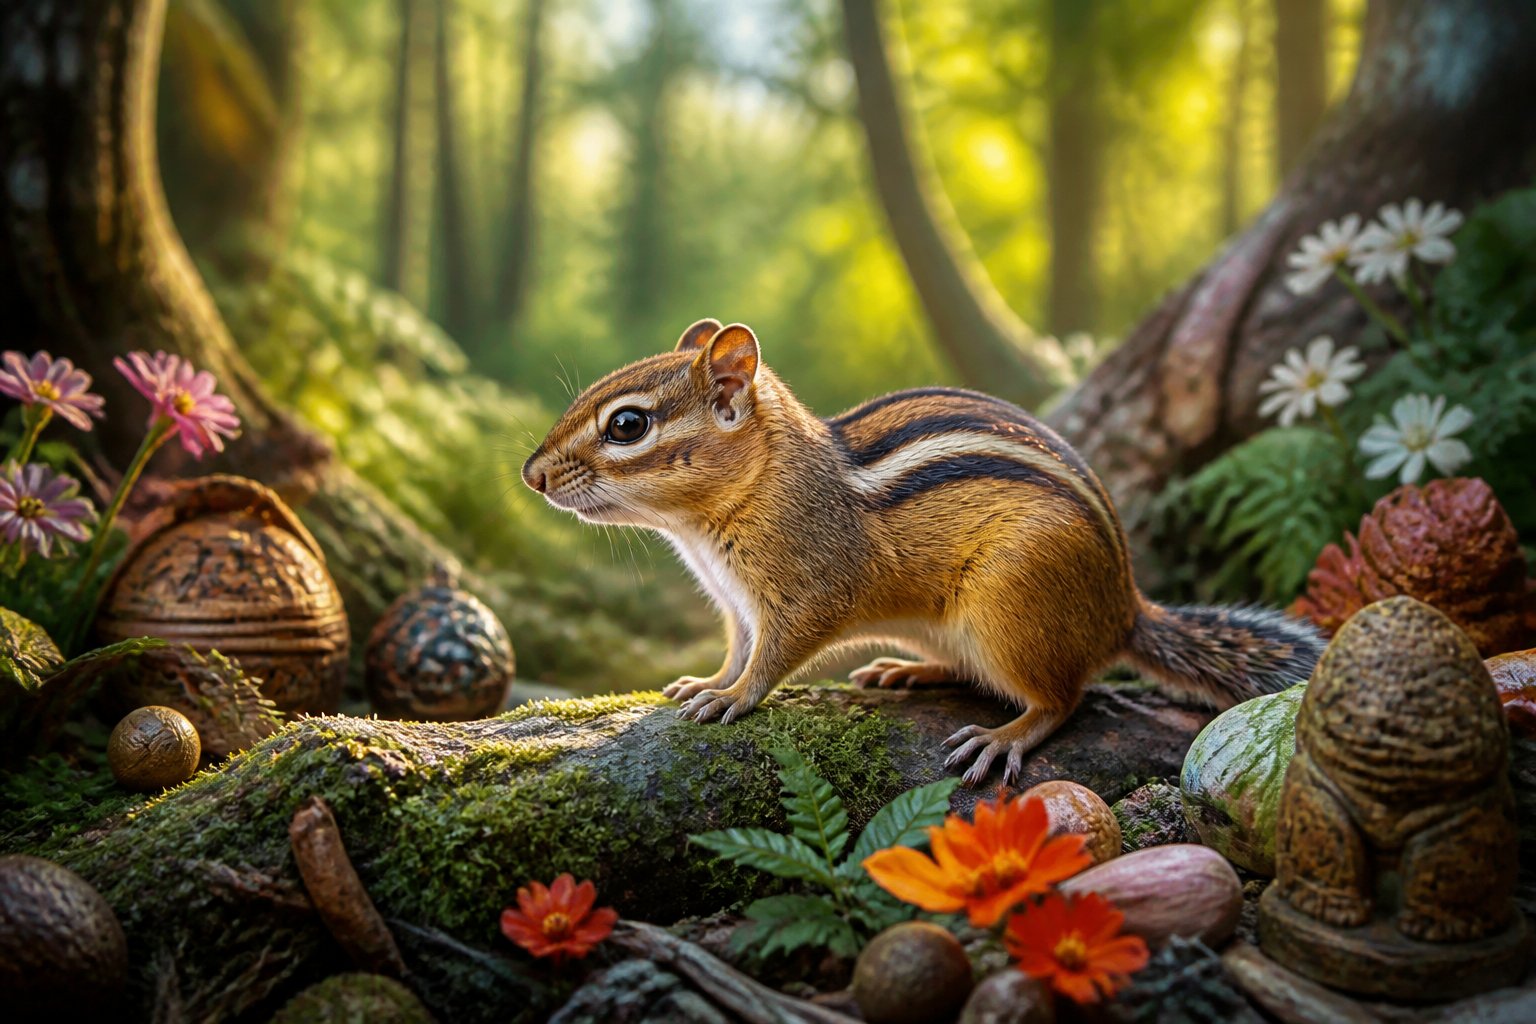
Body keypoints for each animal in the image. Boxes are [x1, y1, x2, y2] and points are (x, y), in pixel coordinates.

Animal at [523, 319, 1325, 786]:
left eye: (628, 425)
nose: (531, 475)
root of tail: (1123, 608)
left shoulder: (808, 591)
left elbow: (775, 657)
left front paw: (733, 698)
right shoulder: (735, 605)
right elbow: (736, 647)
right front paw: (707, 681)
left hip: (1013, 610)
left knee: (1063, 700)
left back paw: (1004, 738)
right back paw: (907, 671)